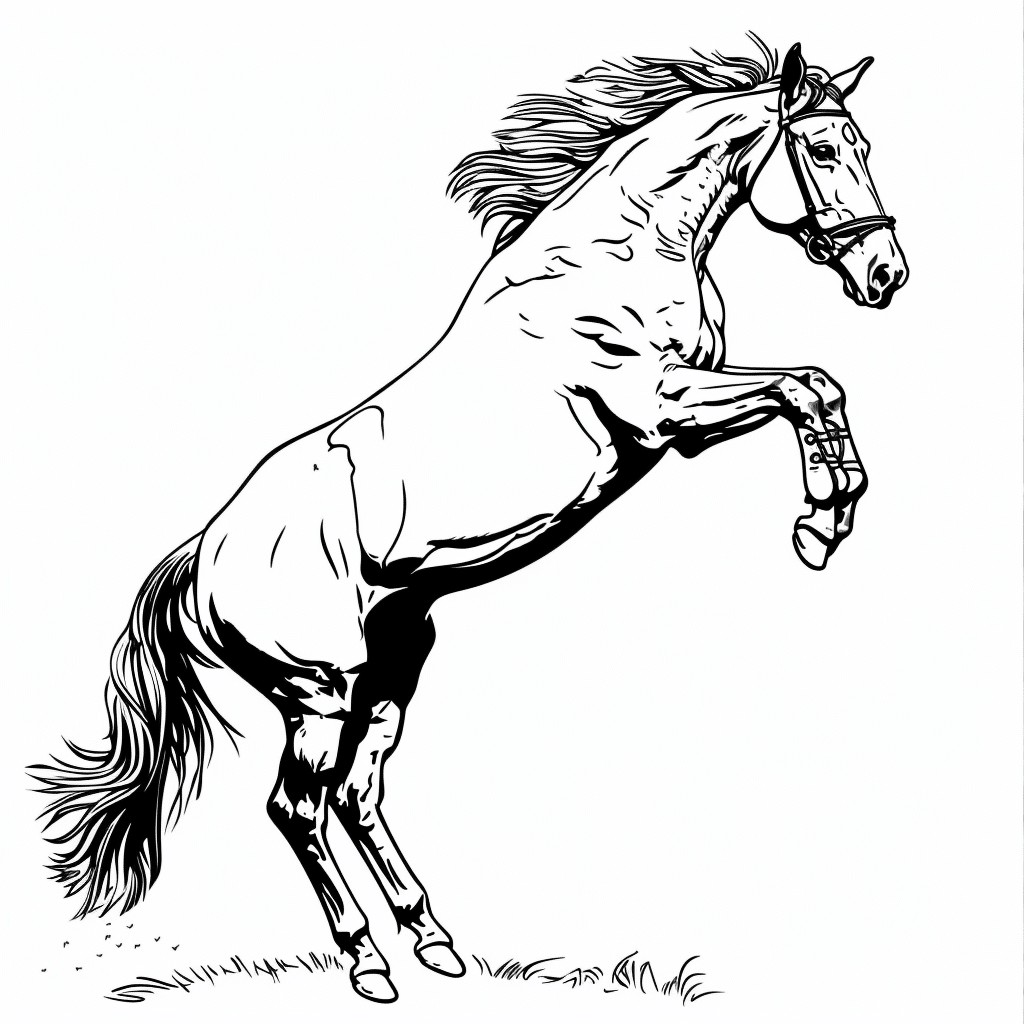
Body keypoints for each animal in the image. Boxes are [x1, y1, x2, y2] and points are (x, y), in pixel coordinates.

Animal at [33, 39, 907, 1004]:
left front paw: (831, 512)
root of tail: (203, 558)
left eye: (863, 145)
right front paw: (820, 523)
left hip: (390, 673)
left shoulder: (688, 411)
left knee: (356, 796)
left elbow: (817, 386)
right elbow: (807, 384)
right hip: (317, 692)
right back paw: (369, 962)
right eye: (823, 150)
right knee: (296, 807)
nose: (886, 275)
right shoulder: (662, 411)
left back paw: (434, 940)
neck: (619, 254)